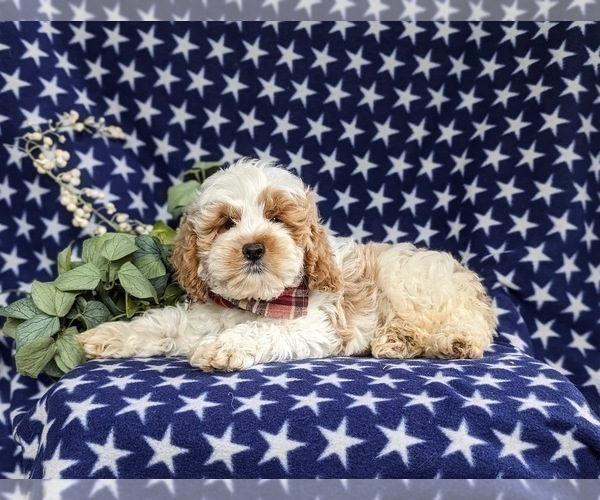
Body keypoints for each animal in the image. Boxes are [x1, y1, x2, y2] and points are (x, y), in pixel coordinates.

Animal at [82, 157, 500, 372]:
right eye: (226, 224)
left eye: (278, 219)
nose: (253, 248)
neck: (253, 301)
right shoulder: (198, 318)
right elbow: (159, 323)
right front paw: (106, 336)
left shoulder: (314, 325)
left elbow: (261, 331)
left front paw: (220, 349)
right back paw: (399, 342)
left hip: (411, 283)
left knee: (465, 328)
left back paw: (444, 342)